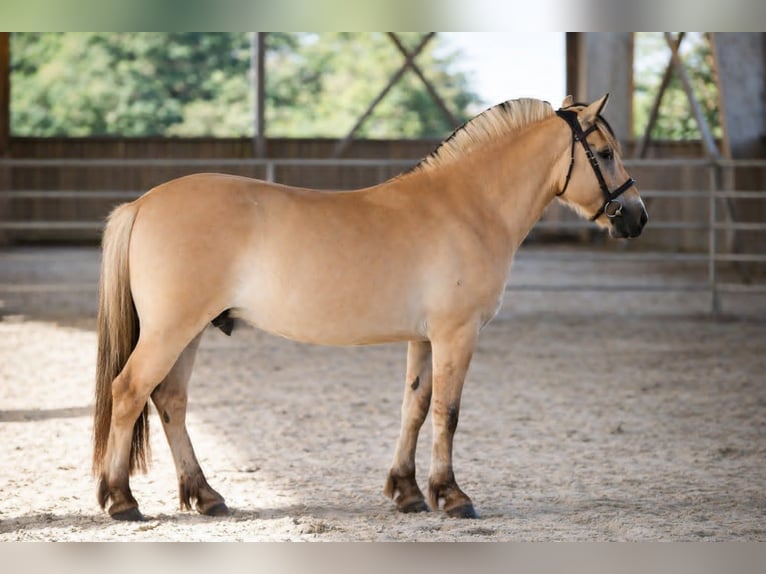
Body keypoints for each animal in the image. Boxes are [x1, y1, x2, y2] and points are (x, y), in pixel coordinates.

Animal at [92, 94, 648, 521]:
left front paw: (407, 492)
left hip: (190, 331)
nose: (636, 217)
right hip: (171, 330)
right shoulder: (457, 334)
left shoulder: (424, 338)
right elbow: (447, 413)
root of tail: (142, 204)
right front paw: (452, 497)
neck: (470, 206)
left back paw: (206, 497)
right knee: (129, 391)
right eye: (604, 153)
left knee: (170, 400)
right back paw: (121, 500)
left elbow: (415, 407)